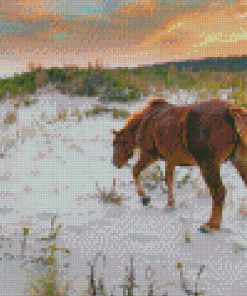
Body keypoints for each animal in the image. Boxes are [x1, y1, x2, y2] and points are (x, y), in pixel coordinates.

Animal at [111, 98, 247, 232]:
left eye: (115, 143)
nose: (114, 162)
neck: (145, 120)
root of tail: (231, 110)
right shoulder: (170, 160)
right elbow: (169, 180)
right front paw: (170, 204)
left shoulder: (149, 155)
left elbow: (135, 171)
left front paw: (144, 198)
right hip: (238, 160)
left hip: (208, 164)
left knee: (219, 191)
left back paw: (211, 225)